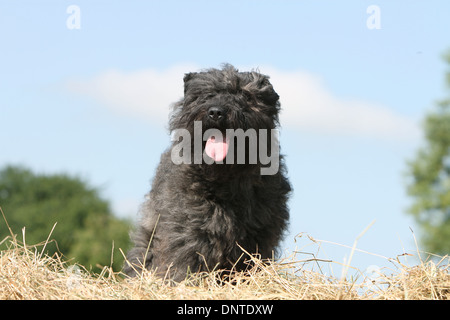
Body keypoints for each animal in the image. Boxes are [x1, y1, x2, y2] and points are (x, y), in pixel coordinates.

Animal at [124, 63, 292, 282]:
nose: (216, 112)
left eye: (245, 96)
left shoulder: (260, 236)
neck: (227, 179)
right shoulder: (189, 230)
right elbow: (186, 259)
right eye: (207, 94)